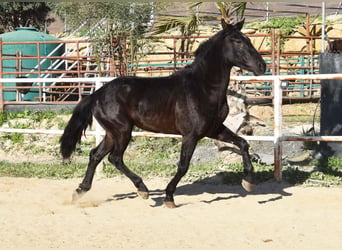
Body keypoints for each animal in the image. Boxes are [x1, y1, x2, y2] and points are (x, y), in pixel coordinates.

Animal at [60, 19, 266, 207]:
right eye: (237, 41)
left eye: (248, 39)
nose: (261, 66)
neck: (203, 87)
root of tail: (97, 94)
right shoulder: (190, 135)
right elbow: (183, 165)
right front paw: (169, 197)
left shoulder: (213, 129)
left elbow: (243, 143)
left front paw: (248, 182)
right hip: (122, 131)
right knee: (114, 158)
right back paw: (143, 189)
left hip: (113, 133)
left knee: (96, 155)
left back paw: (80, 191)